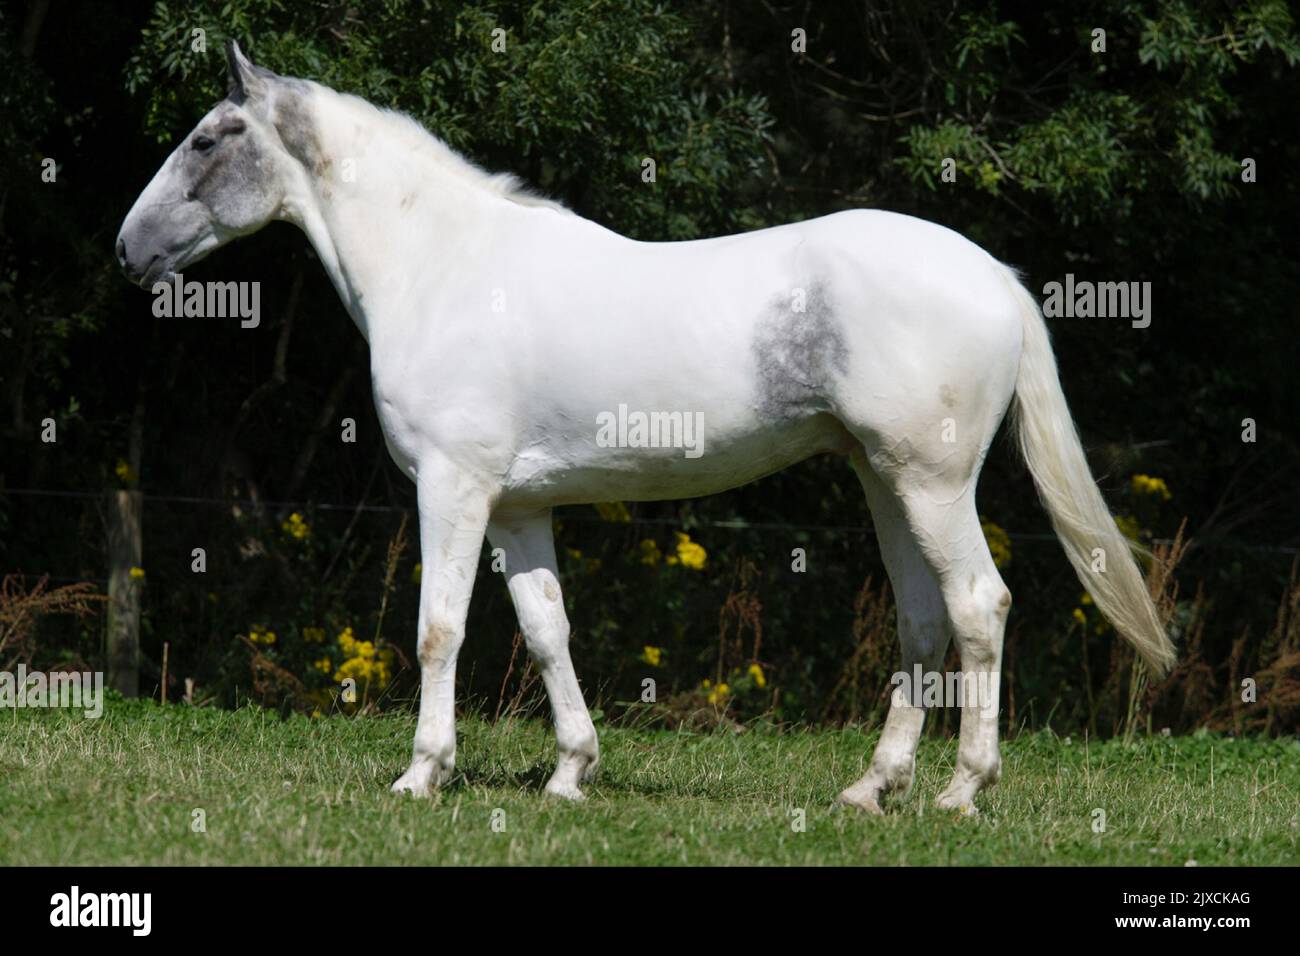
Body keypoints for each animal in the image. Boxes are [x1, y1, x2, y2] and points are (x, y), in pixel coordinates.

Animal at [119, 41, 1180, 811]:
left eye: (210, 139)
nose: (130, 250)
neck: (444, 267)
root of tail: (995, 277)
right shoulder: (515, 506)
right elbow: (546, 630)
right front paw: (569, 774)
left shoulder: (453, 488)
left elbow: (438, 630)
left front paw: (422, 772)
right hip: (886, 481)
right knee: (923, 621)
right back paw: (869, 791)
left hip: (931, 483)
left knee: (978, 608)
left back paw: (962, 792)